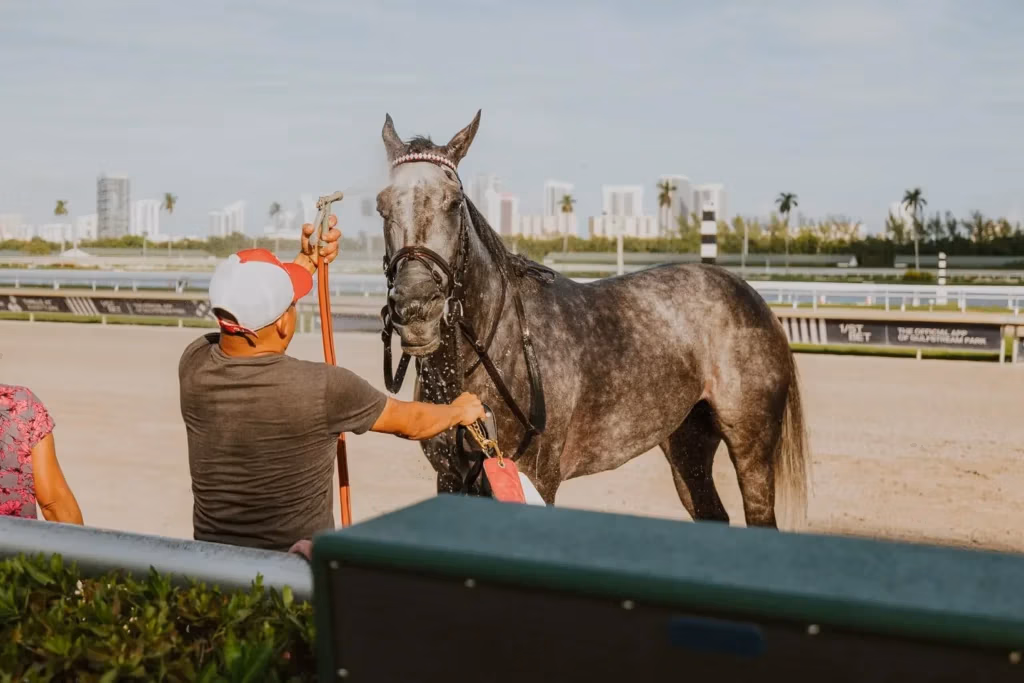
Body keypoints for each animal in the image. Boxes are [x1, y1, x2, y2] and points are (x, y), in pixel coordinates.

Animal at [375, 110, 810, 529]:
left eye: (453, 202)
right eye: (382, 205)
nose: (416, 308)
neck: (494, 353)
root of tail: (749, 294)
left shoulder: (537, 477)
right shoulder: (451, 478)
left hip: (751, 445)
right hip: (687, 445)